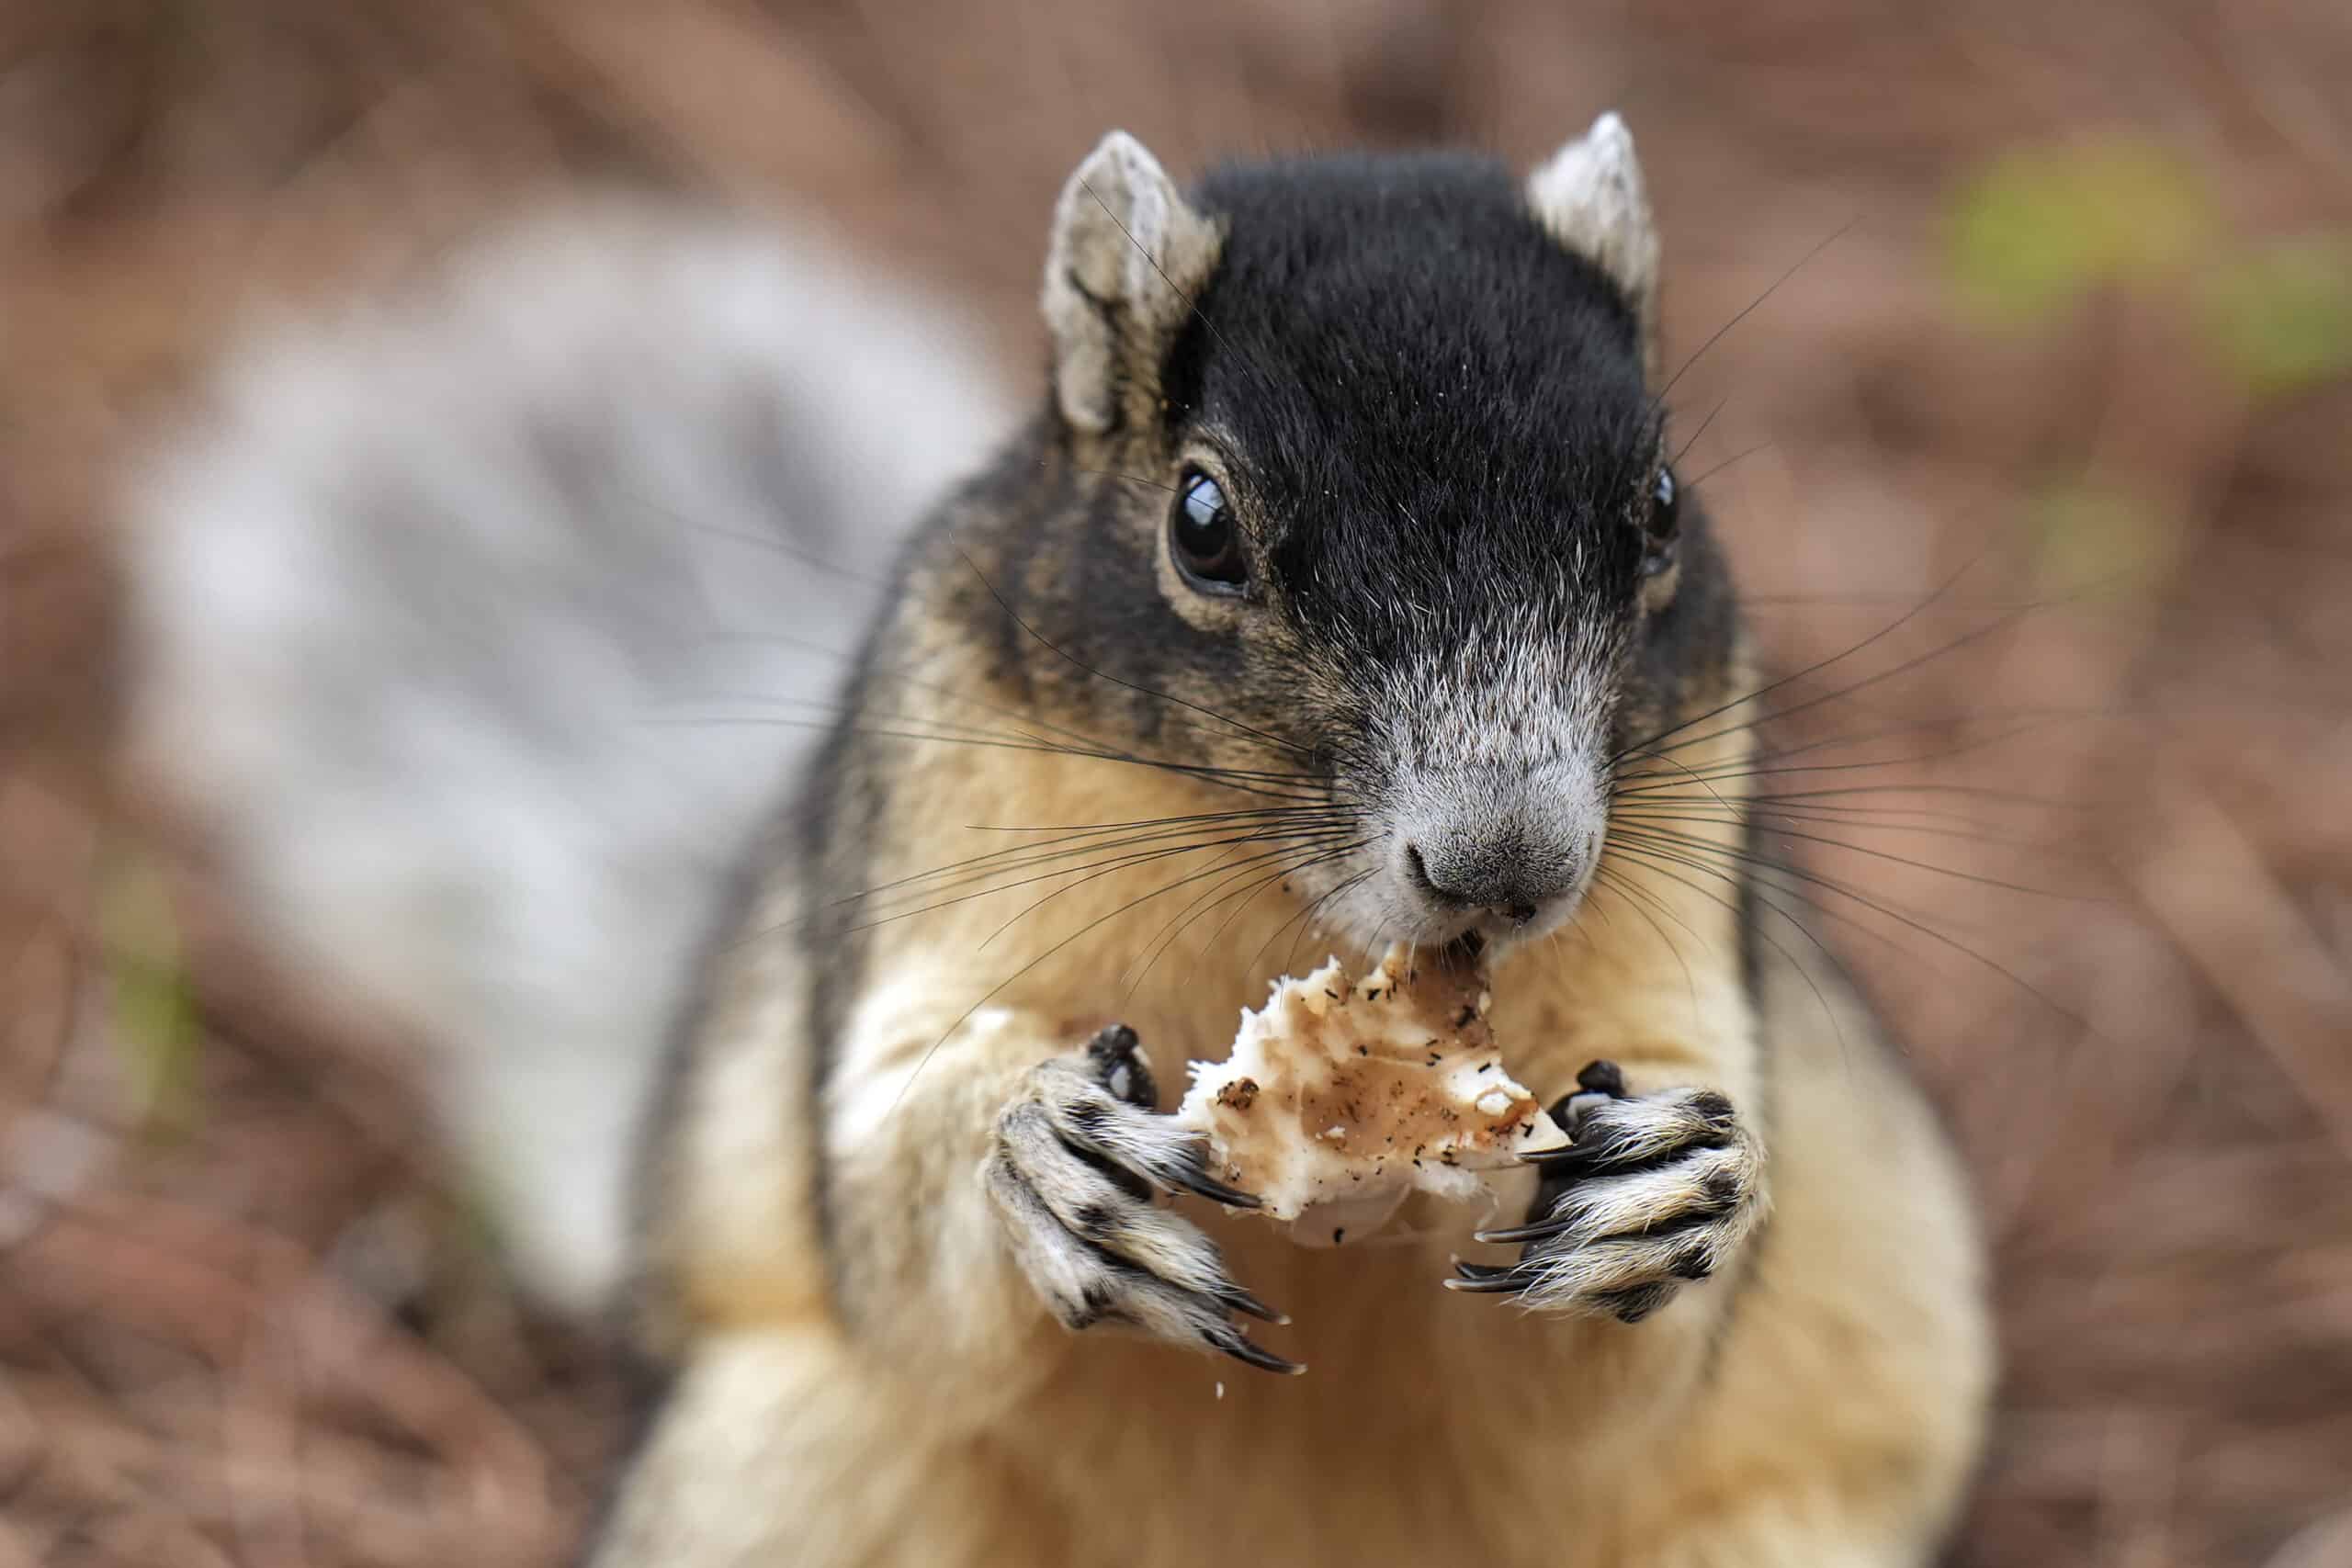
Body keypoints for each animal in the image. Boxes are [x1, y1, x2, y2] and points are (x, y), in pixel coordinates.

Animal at [125, 116, 1993, 1567]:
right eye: (1203, 520)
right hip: (790, 1473)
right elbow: (887, 1168)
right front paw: (1032, 1156)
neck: (1276, 898)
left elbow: (1617, 1376)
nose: (1506, 866)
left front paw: (1668, 1190)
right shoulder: (923, 834)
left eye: (1664, 509)